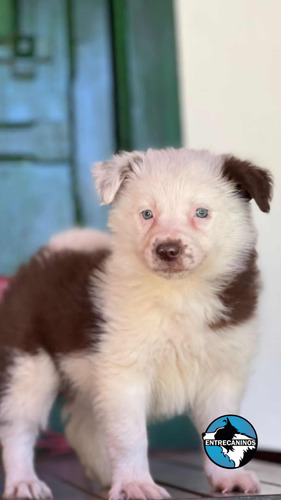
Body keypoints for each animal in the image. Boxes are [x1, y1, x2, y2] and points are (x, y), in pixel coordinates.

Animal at [0, 147, 272, 496]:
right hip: (28, 364)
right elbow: (130, 436)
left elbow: (219, 418)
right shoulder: (123, 373)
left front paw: (228, 477)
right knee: (18, 427)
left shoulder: (223, 370)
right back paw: (24, 482)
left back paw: (105, 474)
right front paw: (136, 484)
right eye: (146, 214)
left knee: (82, 424)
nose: (167, 250)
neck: (180, 292)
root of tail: (43, 256)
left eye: (201, 213)